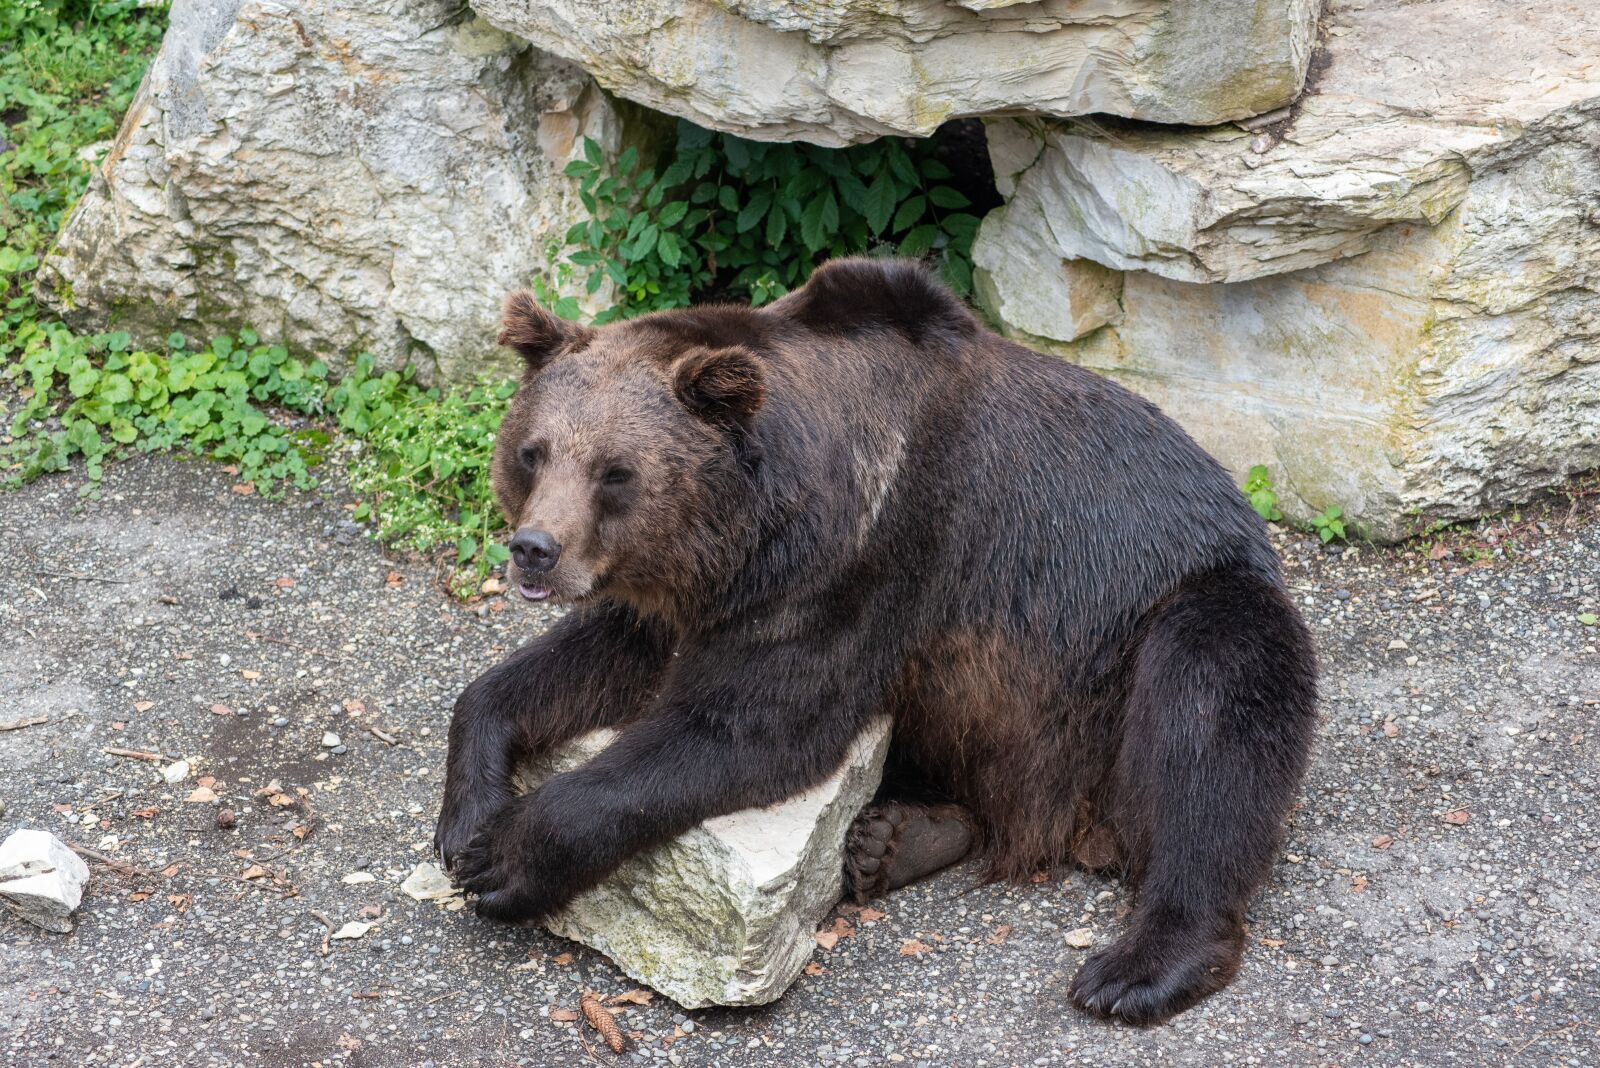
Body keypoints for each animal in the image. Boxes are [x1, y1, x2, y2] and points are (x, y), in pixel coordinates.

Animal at [435, 257, 1318, 1026]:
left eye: (616, 472)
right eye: (533, 451)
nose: (536, 549)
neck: (762, 525)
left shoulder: (859, 565)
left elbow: (750, 724)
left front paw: (507, 857)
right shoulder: (691, 593)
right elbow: (586, 662)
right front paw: (467, 814)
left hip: (1172, 617)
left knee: (1211, 721)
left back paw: (1137, 967)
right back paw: (892, 839)